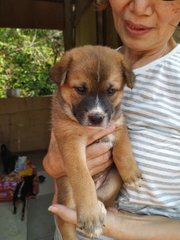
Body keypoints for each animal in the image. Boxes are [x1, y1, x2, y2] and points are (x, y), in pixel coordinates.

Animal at [50, 45, 141, 238]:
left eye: (111, 91)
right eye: (80, 89)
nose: (97, 117)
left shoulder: (118, 124)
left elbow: (123, 149)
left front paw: (132, 174)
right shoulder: (70, 141)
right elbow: (83, 178)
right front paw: (90, 215)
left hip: (113, 182)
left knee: (103, 199)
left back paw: (103, 207)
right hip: (66, 192)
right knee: (66, 222)